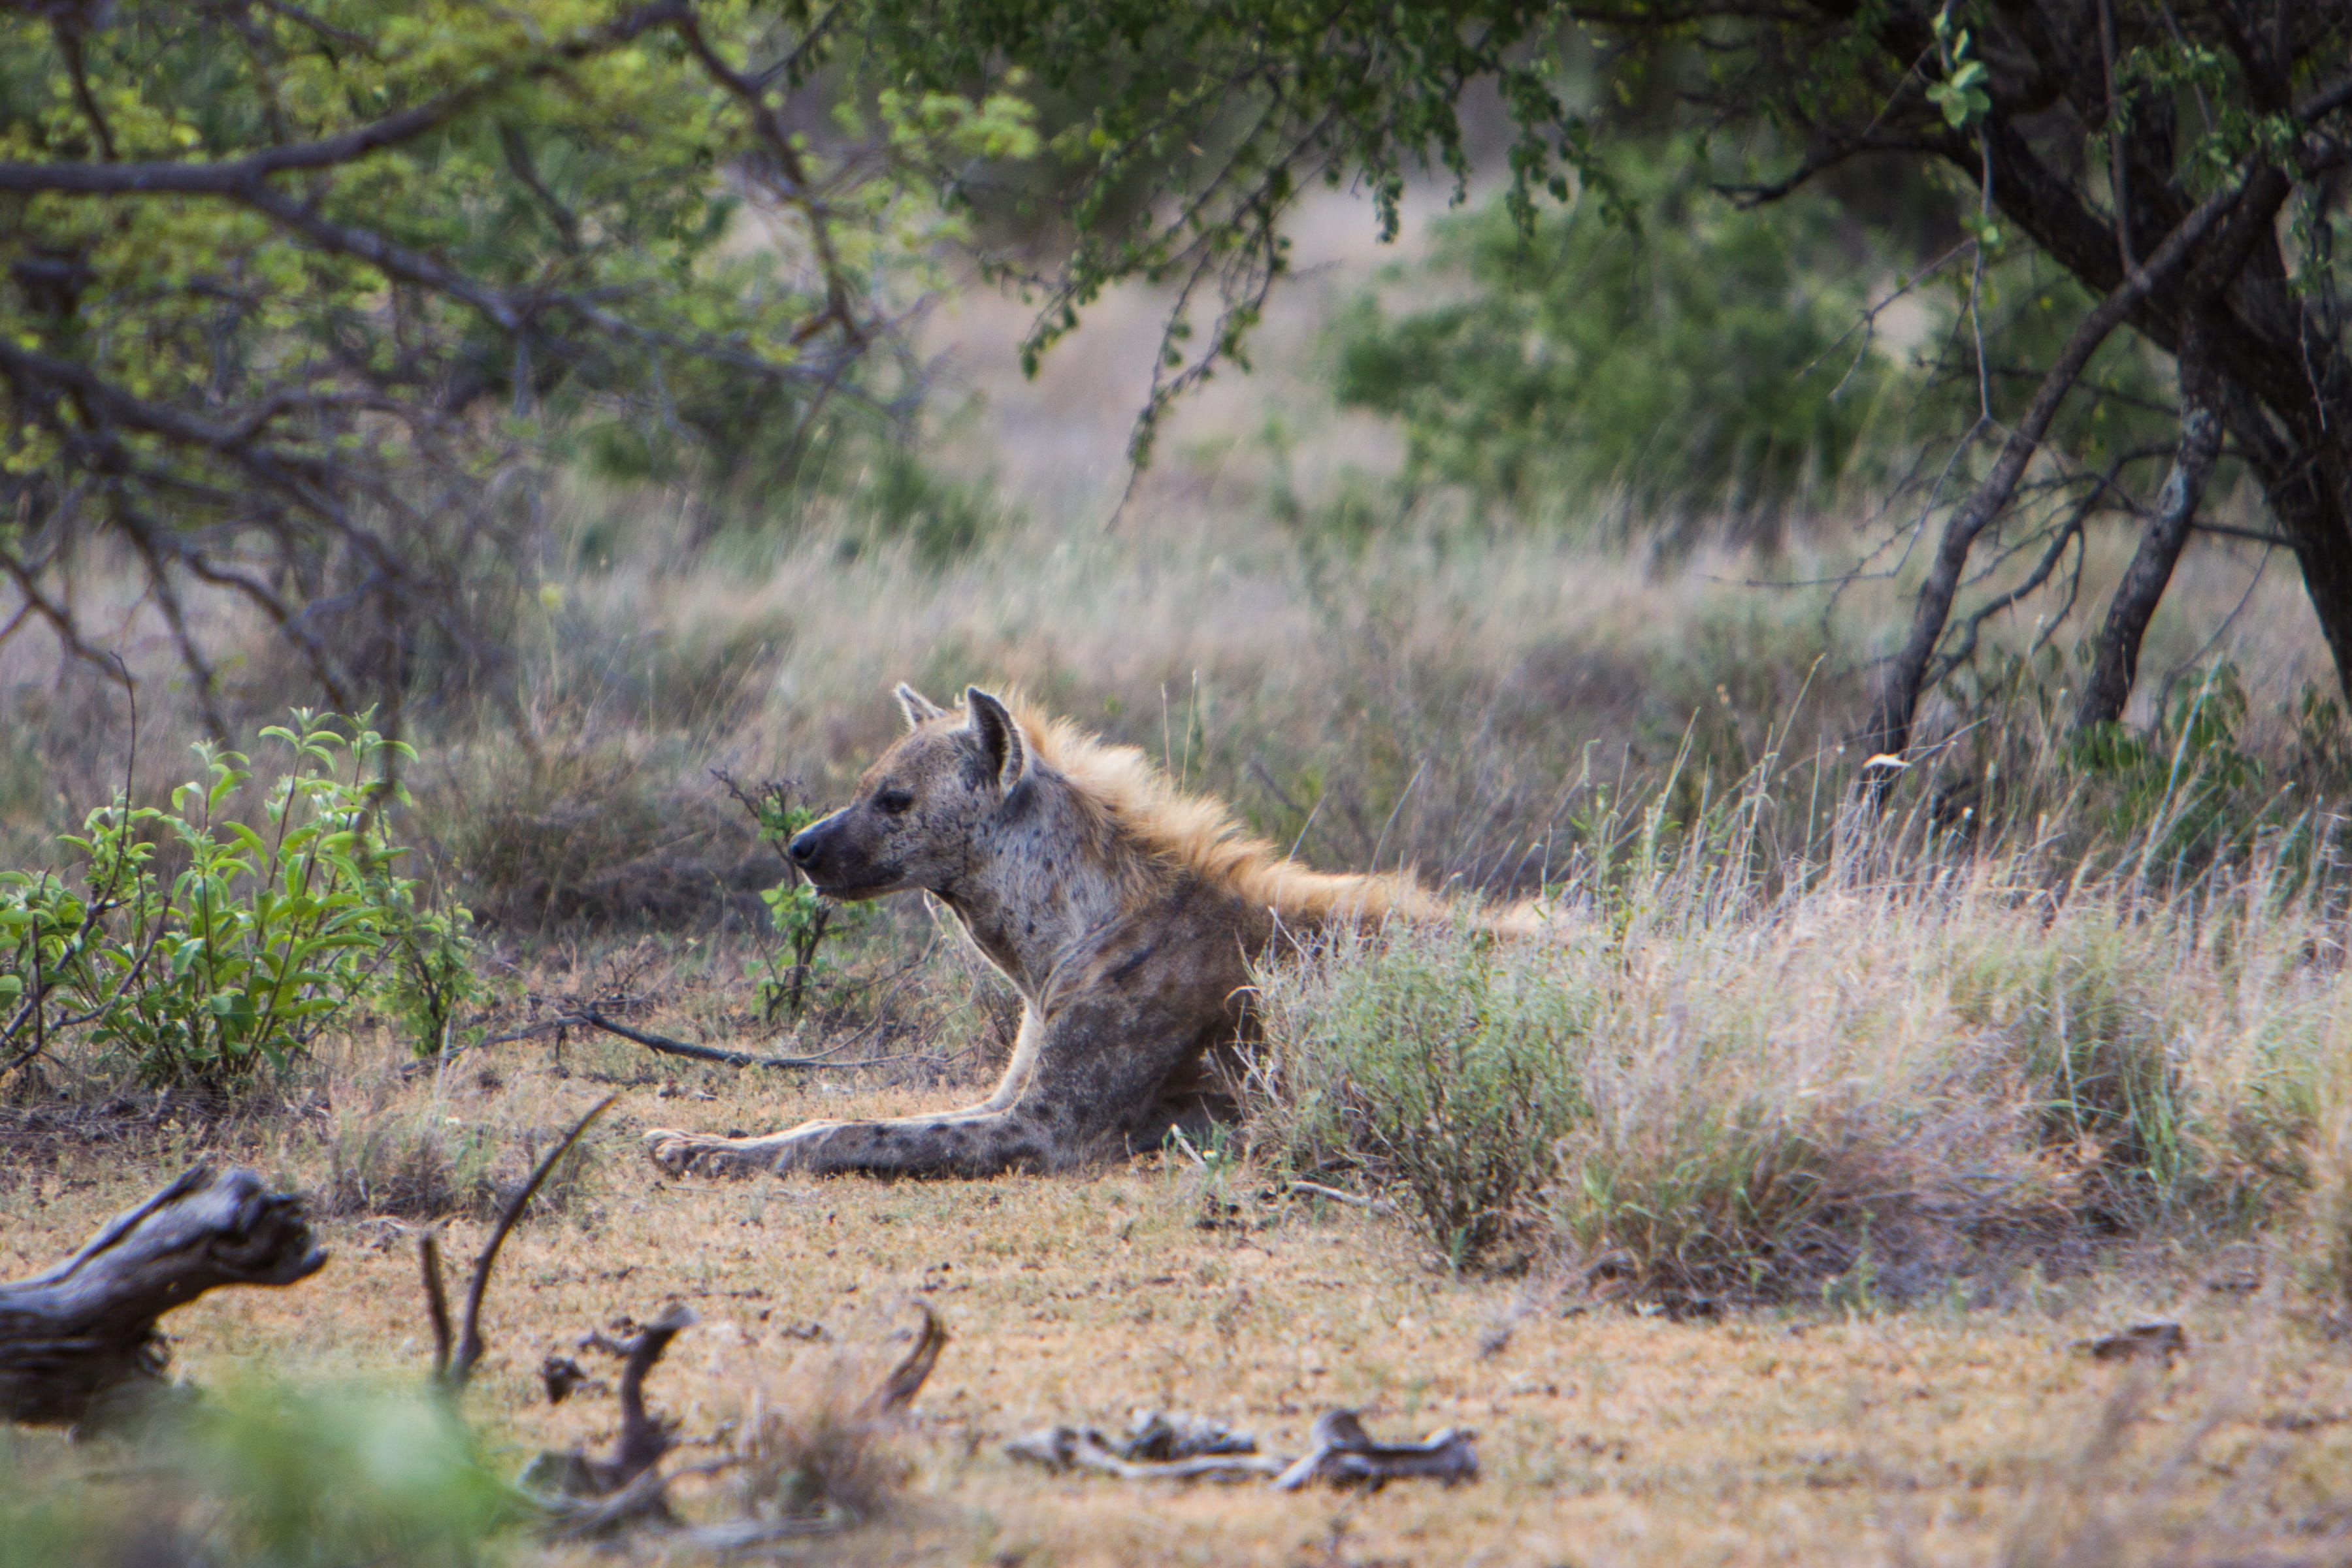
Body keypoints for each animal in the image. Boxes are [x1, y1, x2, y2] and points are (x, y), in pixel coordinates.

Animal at [643, 683, 1508, 1179]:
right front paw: (697, 1141)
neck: (1056, 940)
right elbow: (854, 1118)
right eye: (862, 787)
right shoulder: (1007, 1090)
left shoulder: (1047, 1127)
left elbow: (857, 1129)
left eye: (895, 800)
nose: (800, 846)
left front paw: (708, 1153)